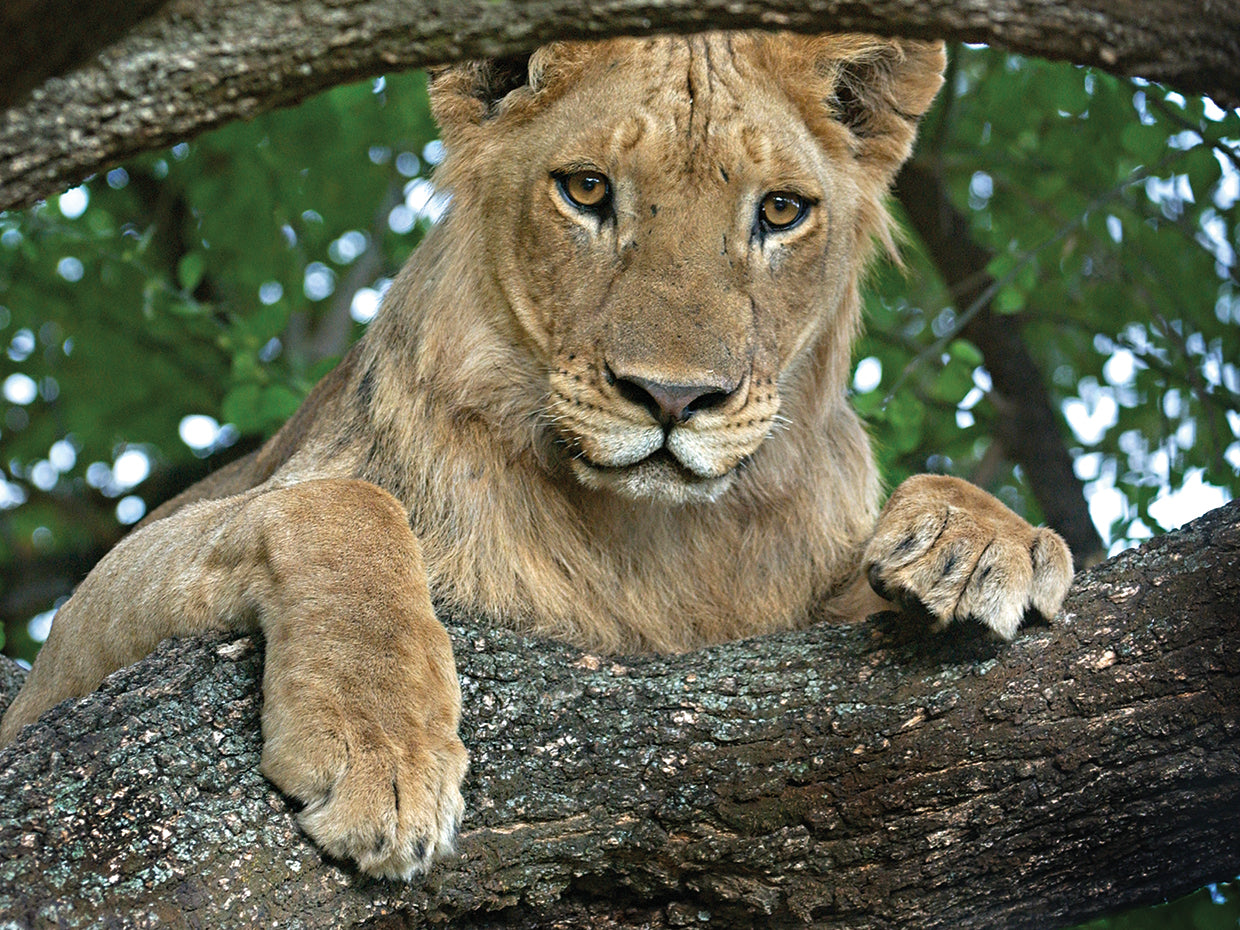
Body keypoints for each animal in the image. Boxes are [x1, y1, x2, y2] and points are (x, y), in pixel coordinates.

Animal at [0, 31, 1073, 880]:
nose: (674, 399)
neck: (656, 539)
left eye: (779, 212)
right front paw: (381, 750)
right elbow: (342, 505)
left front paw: (982, 540)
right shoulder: (64, 660)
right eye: (587, 190)